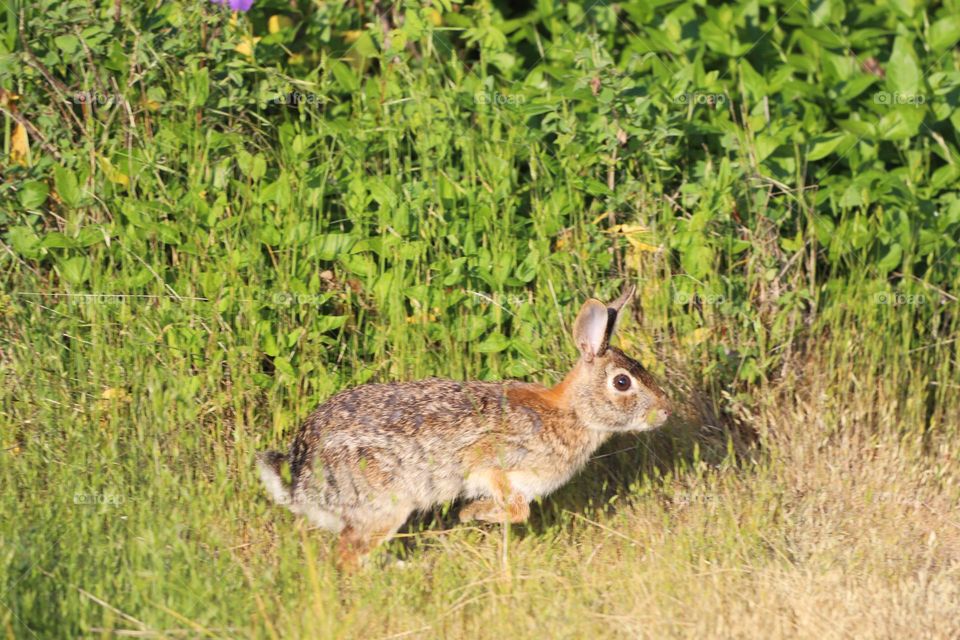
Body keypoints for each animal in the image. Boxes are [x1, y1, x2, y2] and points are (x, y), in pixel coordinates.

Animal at [258, 286, 672, 568]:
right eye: (622, 383)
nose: (666, 410)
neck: (572, 412)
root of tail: (299, 481)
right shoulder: (494, 461)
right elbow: (517, 507)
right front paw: (471, 514)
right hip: (384, 504)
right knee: (347, 556)